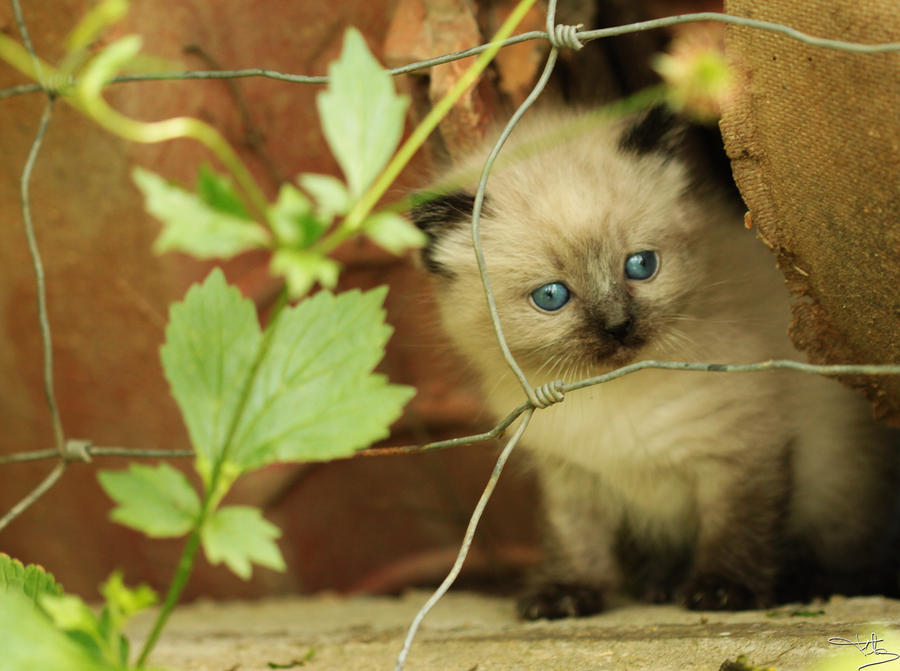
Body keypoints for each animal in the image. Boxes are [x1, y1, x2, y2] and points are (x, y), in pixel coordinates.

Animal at [412, 106, 896, 620]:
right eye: (551, 297)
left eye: (641, 265)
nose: (618, 326)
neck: (607, 393)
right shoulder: (570, 475)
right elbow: (574, 540)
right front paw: (565, 595)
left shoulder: (742, 453)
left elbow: (737, 530)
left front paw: (723, 593)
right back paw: (658, 585)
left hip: (838, 483)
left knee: (848, 562)